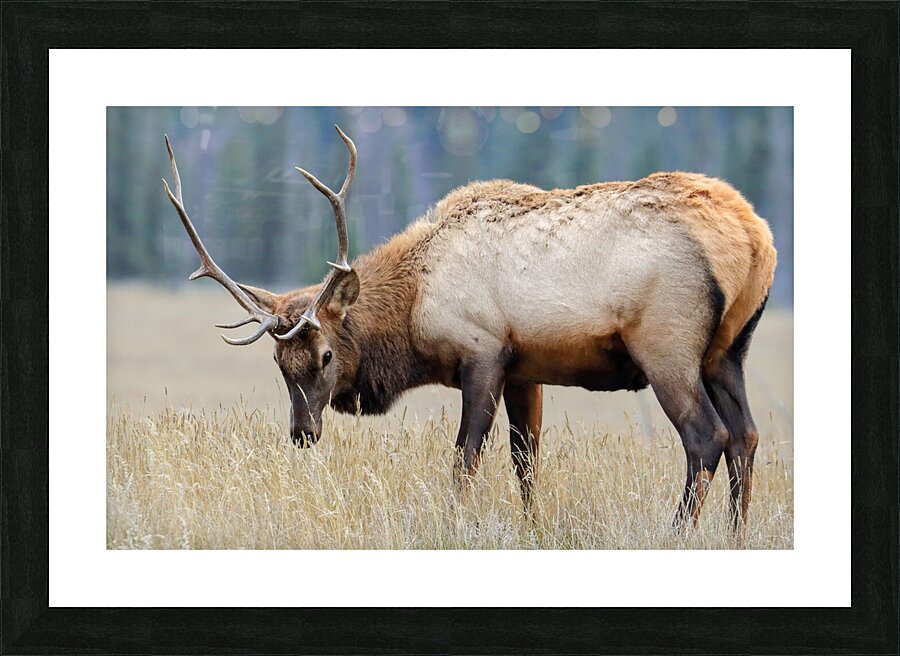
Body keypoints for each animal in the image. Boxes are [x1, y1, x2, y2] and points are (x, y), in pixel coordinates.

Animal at [162, 125, 776, 529]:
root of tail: (754, 236)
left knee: (707, 437)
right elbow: (526, 462)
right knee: (746, 436)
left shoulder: (483, 353)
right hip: (728, 352)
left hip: (667, 345)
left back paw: (679, 533)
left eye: (326, 356)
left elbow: (464, 459)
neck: (415, 306)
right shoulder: (528, 368)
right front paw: (533, 530)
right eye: (277, 362)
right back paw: (735, 536)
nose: (302, 433)